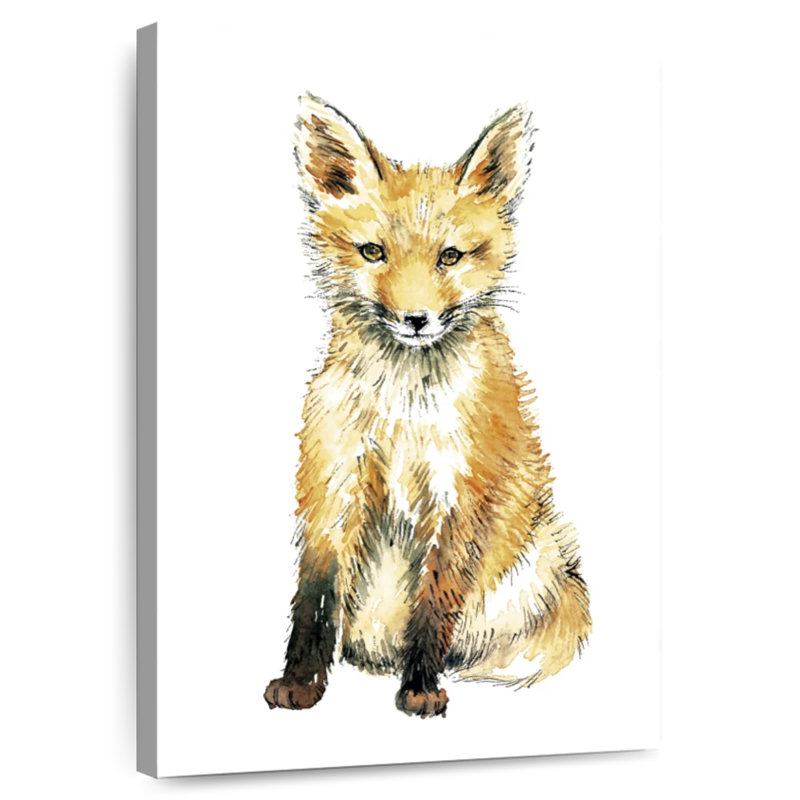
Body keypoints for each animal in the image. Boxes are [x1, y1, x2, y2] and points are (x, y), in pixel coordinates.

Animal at [264, 94, 591, 718]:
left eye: (450, 257)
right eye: (373, 252)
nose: (416, 320)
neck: (404, 415)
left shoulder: (460, 493)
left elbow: (435, 602)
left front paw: (419, 689)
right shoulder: (333, 483)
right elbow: (314, 601)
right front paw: (300, 684)